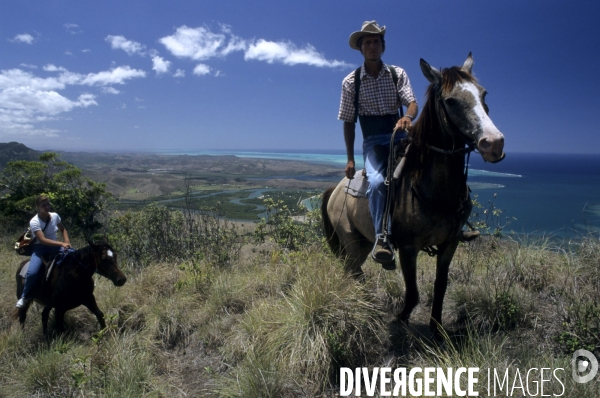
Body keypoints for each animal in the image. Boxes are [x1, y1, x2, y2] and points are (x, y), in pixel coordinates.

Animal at [322, 54, 504, 338]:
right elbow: (413, 294)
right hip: (349, 239)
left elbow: (440, 287)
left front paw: (437, 329)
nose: (493, 143)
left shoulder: (450, 244)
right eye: (450, 101)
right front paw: (400, 320)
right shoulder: (408, 248)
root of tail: (337, 188)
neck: (434, 190)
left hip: (363, 242)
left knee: (354, 269)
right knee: (353, 270)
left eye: (483, 93)